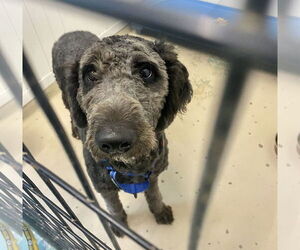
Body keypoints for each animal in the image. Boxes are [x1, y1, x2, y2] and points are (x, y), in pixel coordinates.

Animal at [51, 30, 192, 236]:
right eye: (90, 73)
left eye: (146, 72)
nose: (114, 140)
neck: (130, 166)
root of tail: (69, 33)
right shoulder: (103, 186)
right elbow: (114, 206)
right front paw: (119, 223)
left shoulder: (153, 174)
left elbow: (154, 195)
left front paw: (159, 211)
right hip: (64, 95)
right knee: (72, 113)